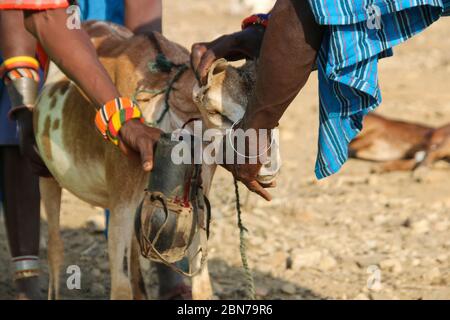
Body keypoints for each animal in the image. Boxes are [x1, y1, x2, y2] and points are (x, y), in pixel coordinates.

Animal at [34, 21, 278, 300]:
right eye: (216, 111)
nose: (265, 166)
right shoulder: (121, 200)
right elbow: (120, 286)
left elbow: (203, 286)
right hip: (47, 174)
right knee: (55, 247)